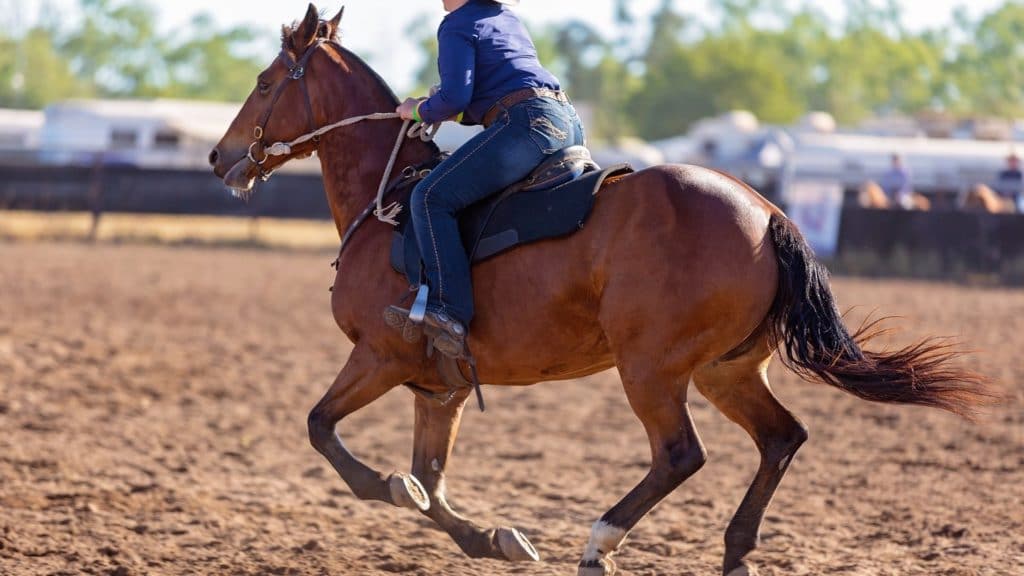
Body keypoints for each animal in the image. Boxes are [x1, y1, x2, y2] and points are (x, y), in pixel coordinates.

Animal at [207, 5, 991, 573]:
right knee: (781, 439)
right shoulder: (441, 387)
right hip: (726, 369)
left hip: (651, 368)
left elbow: (328, 433)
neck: (392, 198)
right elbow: (431, 481)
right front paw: (492, 538)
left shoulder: (380, 356)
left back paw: (600, 541)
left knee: (680, 455)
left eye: (266, 81)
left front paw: (397, 491)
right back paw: (734, 554)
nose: (219, 157)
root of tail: (768, 212)